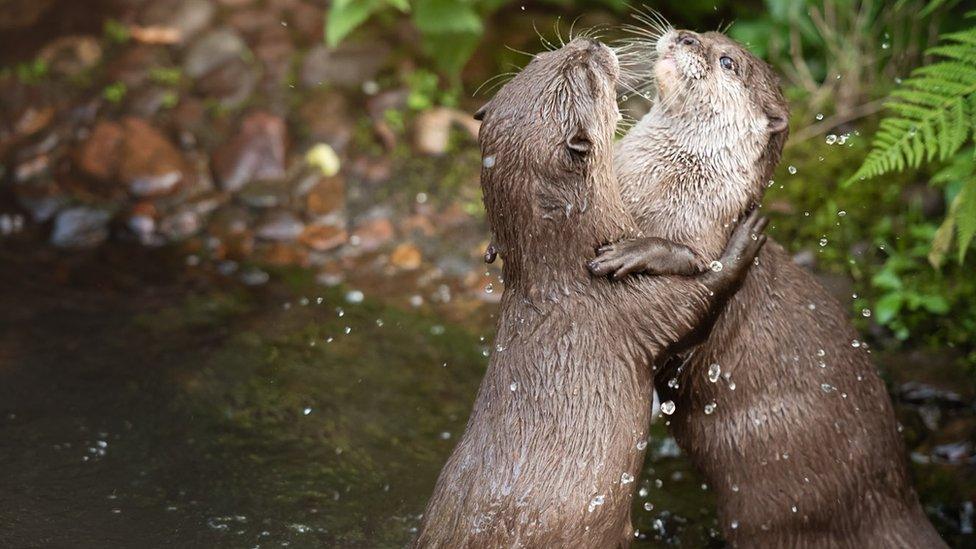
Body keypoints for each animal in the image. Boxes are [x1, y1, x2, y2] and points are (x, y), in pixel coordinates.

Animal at [416, 39, 768, 548]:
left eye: (539, 58)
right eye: (586, 73)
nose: (591, 44)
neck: (571, 274)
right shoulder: (637, 308)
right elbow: (702, 299)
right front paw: (746, 238)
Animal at [596, 24, 944, 544]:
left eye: (727, 62)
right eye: (706, 34)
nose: (684, 36)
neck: (664, 183)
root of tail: (890, 501)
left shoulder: (705, 235)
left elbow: (690, 269)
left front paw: (634, 250)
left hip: (774, 507)